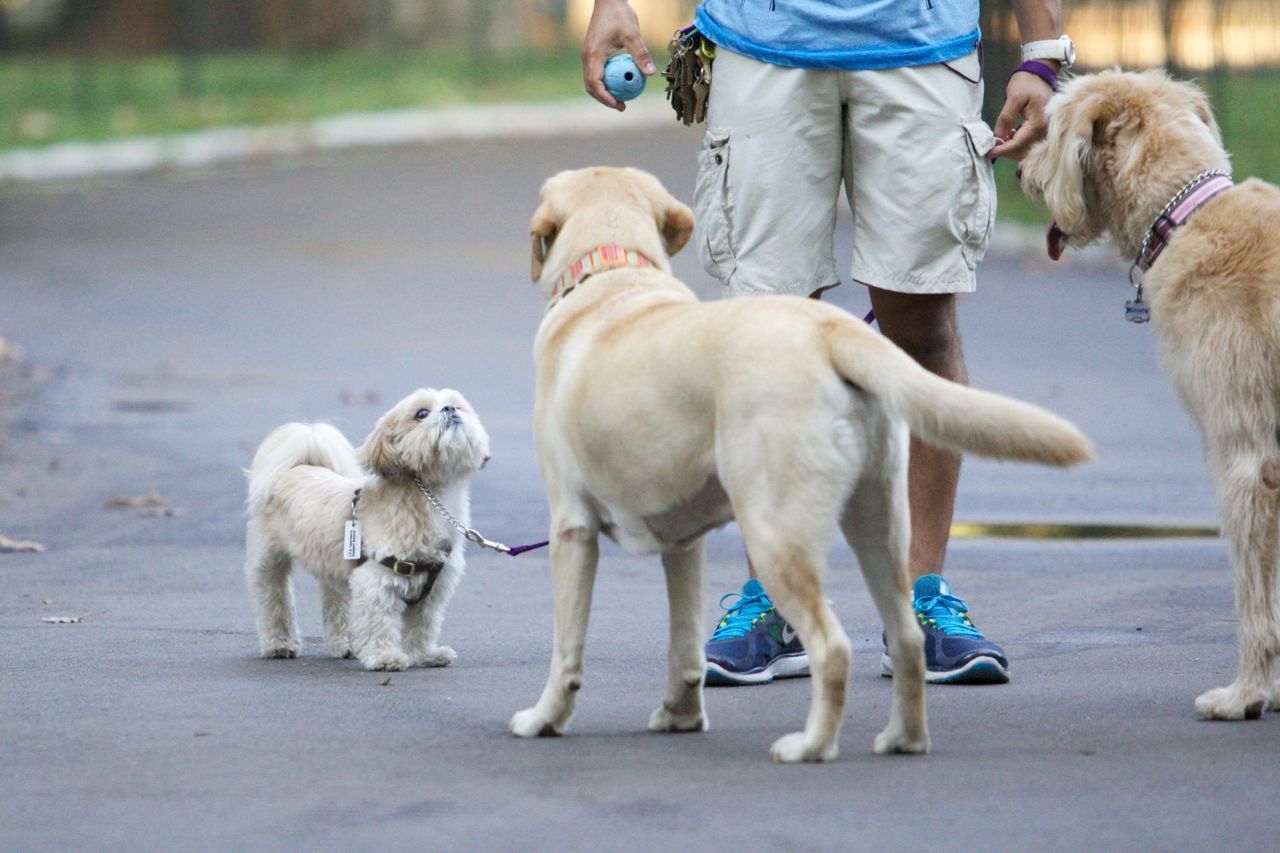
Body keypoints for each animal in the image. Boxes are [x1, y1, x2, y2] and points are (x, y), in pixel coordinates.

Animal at [243, 386, 488, 671]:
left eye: (457, 406)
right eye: (422, 414)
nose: (449, 410)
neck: (430, 498)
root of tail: (296, 467)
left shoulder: (433, 590)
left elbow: (422, 626)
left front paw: (425, 654)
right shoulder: (377, 580)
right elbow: (378, 622)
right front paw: (384, 657)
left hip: (336, 566)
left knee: (337, 603)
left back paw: (346, 644)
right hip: (269, 560)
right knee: (273, 599)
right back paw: (279, 644)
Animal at [509, 163, 1090, 758]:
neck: (614, 269)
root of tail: (832, 328)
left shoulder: (572, 529)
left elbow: (567, 649)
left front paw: (545, 718)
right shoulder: (683, 543)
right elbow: (684, 648)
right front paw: (680, 715)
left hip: (773, 531)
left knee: (832, 648)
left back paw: (811, 746)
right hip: (878, 526)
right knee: (906, 637)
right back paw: (903, 738)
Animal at [1018, 68, 1280, 717]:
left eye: (1052, 128)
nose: (1019, 172)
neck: (1183, 215)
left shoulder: (1247, 463)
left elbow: (1255, 600)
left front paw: (1246, 695)